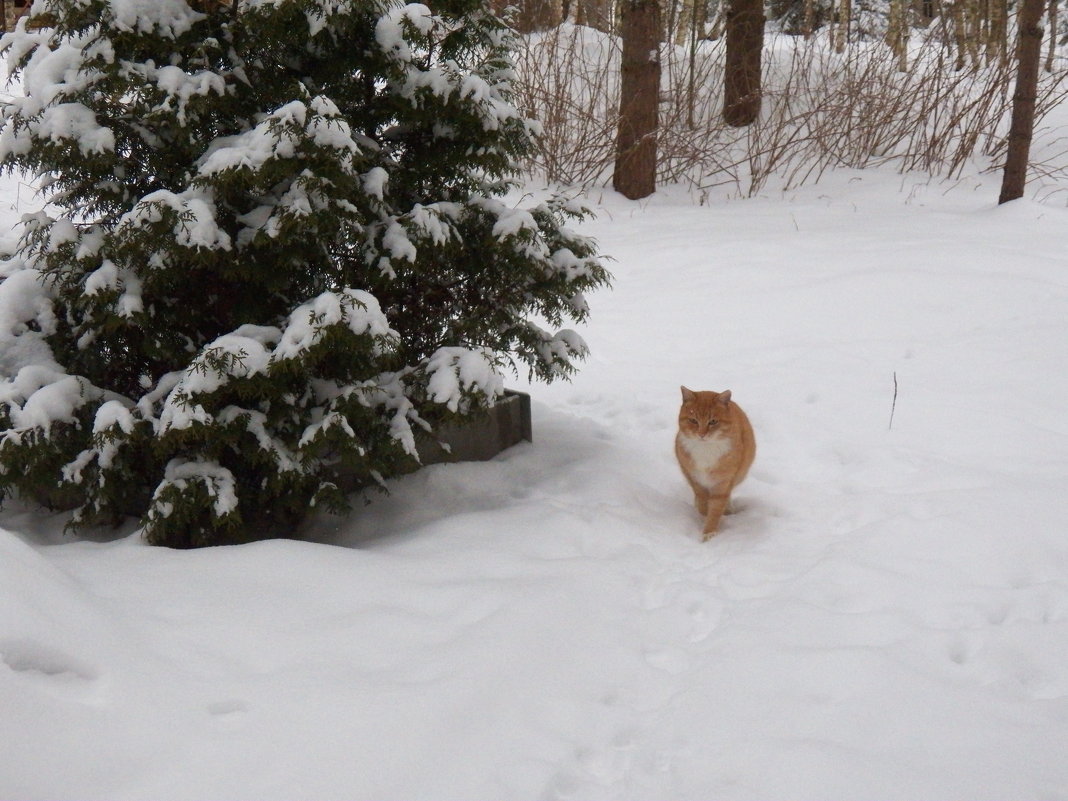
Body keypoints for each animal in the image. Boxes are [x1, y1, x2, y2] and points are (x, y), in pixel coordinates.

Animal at [674, 386, 751, 542]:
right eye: (693, 420)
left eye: (713, 421)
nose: (702, 434)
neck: (706, 448)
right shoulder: (695, 479)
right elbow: (703, 502)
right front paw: (703, 515)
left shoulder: (723, 483)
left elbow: (715, 508)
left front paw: (709, 532)